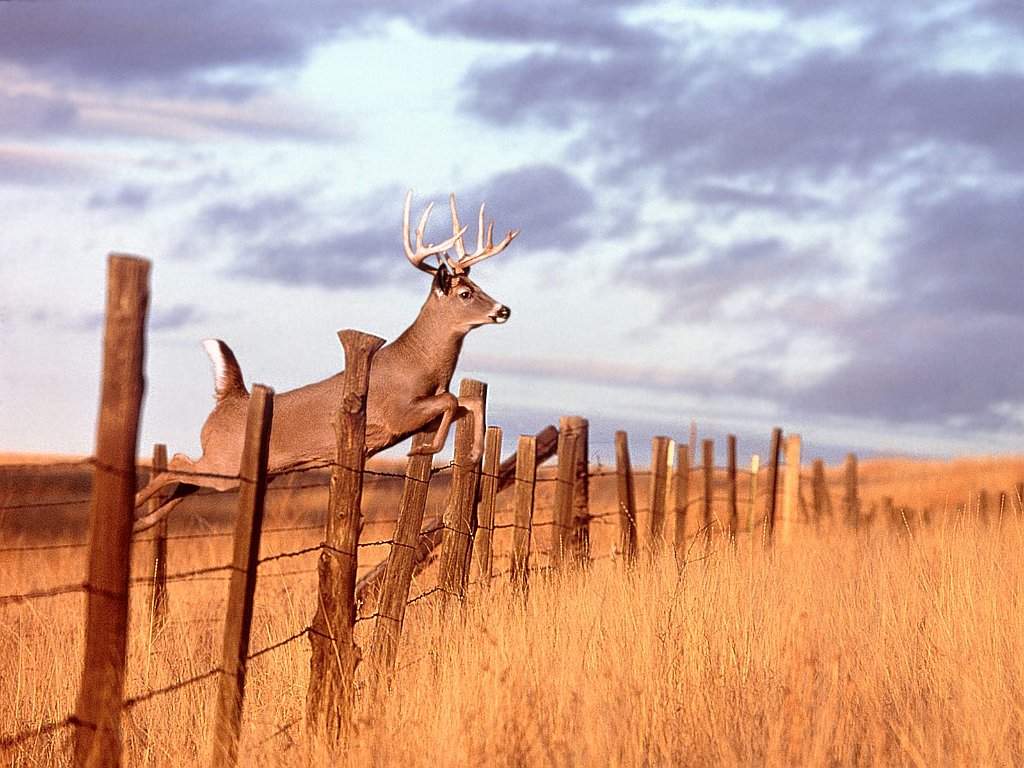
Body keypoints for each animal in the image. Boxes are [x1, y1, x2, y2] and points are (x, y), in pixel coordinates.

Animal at [134, 189, 520, 532]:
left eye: (479, 286)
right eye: (465, 293)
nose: (504, 310)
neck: (421, 365)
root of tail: (230, 400)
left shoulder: (421, 409)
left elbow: (466, 400)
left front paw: (472, 454)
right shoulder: (396, 413)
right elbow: (452, 400)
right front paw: (429, 450)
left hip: (236, 469)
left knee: (185, 480)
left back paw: (142, 522)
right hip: (226, 460)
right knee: (177, 462)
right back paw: (132, 509)